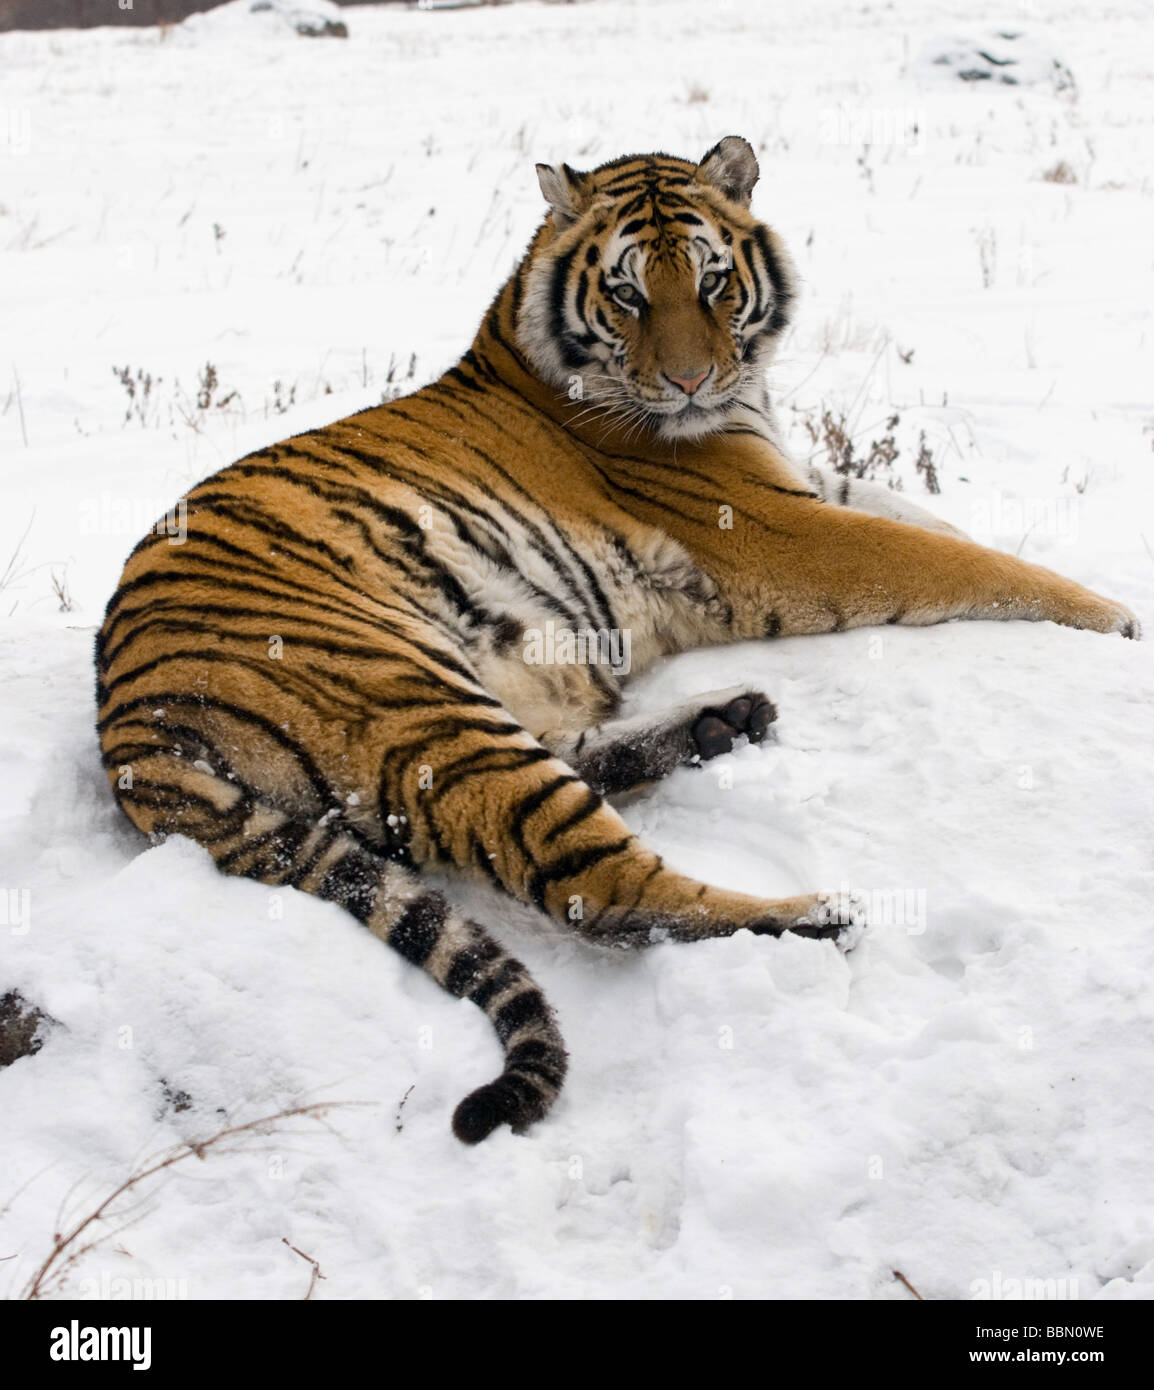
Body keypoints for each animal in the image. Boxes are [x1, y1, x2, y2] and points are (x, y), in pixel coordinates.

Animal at [97, 135, 1140, 1145]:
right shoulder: (780, 528)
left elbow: (934, 521)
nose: (690, 379)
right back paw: (810, 917)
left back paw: (722, 721)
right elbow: (954, 559)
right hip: (411, 695)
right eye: (630, 293)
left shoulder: (800, 482)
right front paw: (1119, 620)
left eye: (713, 281)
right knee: (598, 890)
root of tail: (128, 735)